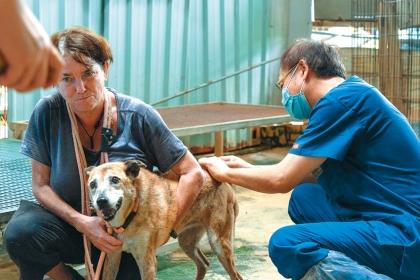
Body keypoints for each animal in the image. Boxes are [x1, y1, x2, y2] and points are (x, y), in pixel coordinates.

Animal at [84, 160, 243, 280]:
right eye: (92, 184)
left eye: (115, 179)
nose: (101, 201)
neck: (130, 215)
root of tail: (222, 181)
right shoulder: (112, 256)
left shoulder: (147, 262)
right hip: (186, 242)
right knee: (204, 263)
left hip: (218, 243)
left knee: (236, 276)